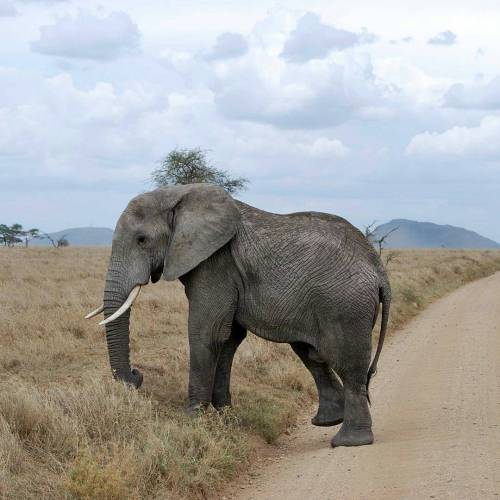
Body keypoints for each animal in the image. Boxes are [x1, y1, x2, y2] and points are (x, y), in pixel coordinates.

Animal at [86, 184, 390, 450]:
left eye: (142, 240)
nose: (136, 377)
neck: (178, 193)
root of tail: (379, 269)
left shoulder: (215, 264)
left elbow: (206, 333)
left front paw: (193, 419)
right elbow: (228, 338)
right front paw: (225, 416)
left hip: (345, 307)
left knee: (348, 366)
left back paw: (348, 441)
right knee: (311, 354)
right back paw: (327, 421)